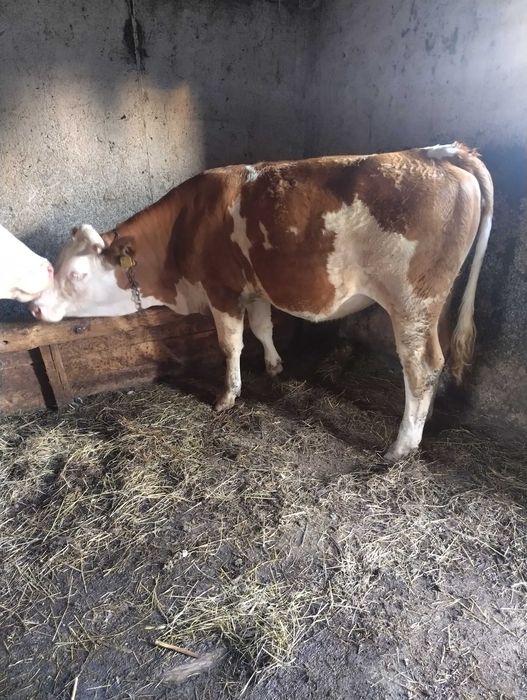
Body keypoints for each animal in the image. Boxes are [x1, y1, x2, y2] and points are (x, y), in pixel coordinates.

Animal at [30, 143, 493, 461]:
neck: (186, 226)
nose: (35, 307)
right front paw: (273, 367)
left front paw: (227, 395)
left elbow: (230, 344)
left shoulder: (222, 289)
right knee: (438, 358)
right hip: (437, 302)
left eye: (77, 274)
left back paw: (402, 445)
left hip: (411, 302)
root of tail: (441, 152)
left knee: (421, 366)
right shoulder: (253, 289)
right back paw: (424, 420)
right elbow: (262, 327)